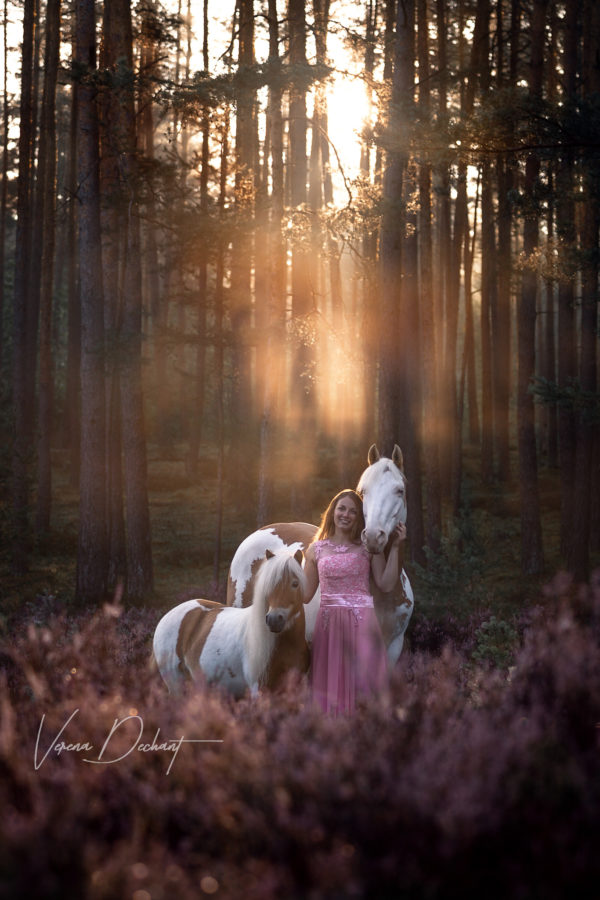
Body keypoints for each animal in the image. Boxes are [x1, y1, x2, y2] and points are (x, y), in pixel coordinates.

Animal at [154, 548, 310, 696]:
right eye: (267, 585)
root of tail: (166, 616)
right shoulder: (258, 690)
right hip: (176, 685)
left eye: (295, 583)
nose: (273, 620)